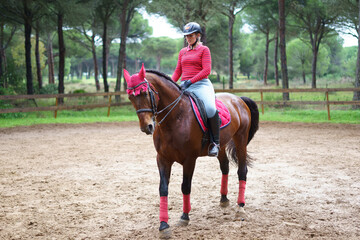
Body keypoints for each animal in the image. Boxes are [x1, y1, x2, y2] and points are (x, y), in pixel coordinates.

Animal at [124, 64, 258, 238]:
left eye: (145, 93)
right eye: (130, 97)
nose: (147, 127)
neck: (175, 117)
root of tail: (238, 99)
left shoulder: (189, 160)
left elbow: (185, 186)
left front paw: (184, 217)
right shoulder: (162, 159)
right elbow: (163, 189)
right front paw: (163, 225)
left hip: (241, 140)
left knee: (242, 170)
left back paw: (240, 207)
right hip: (221, 144)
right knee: (225, 167)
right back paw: (224, 199)